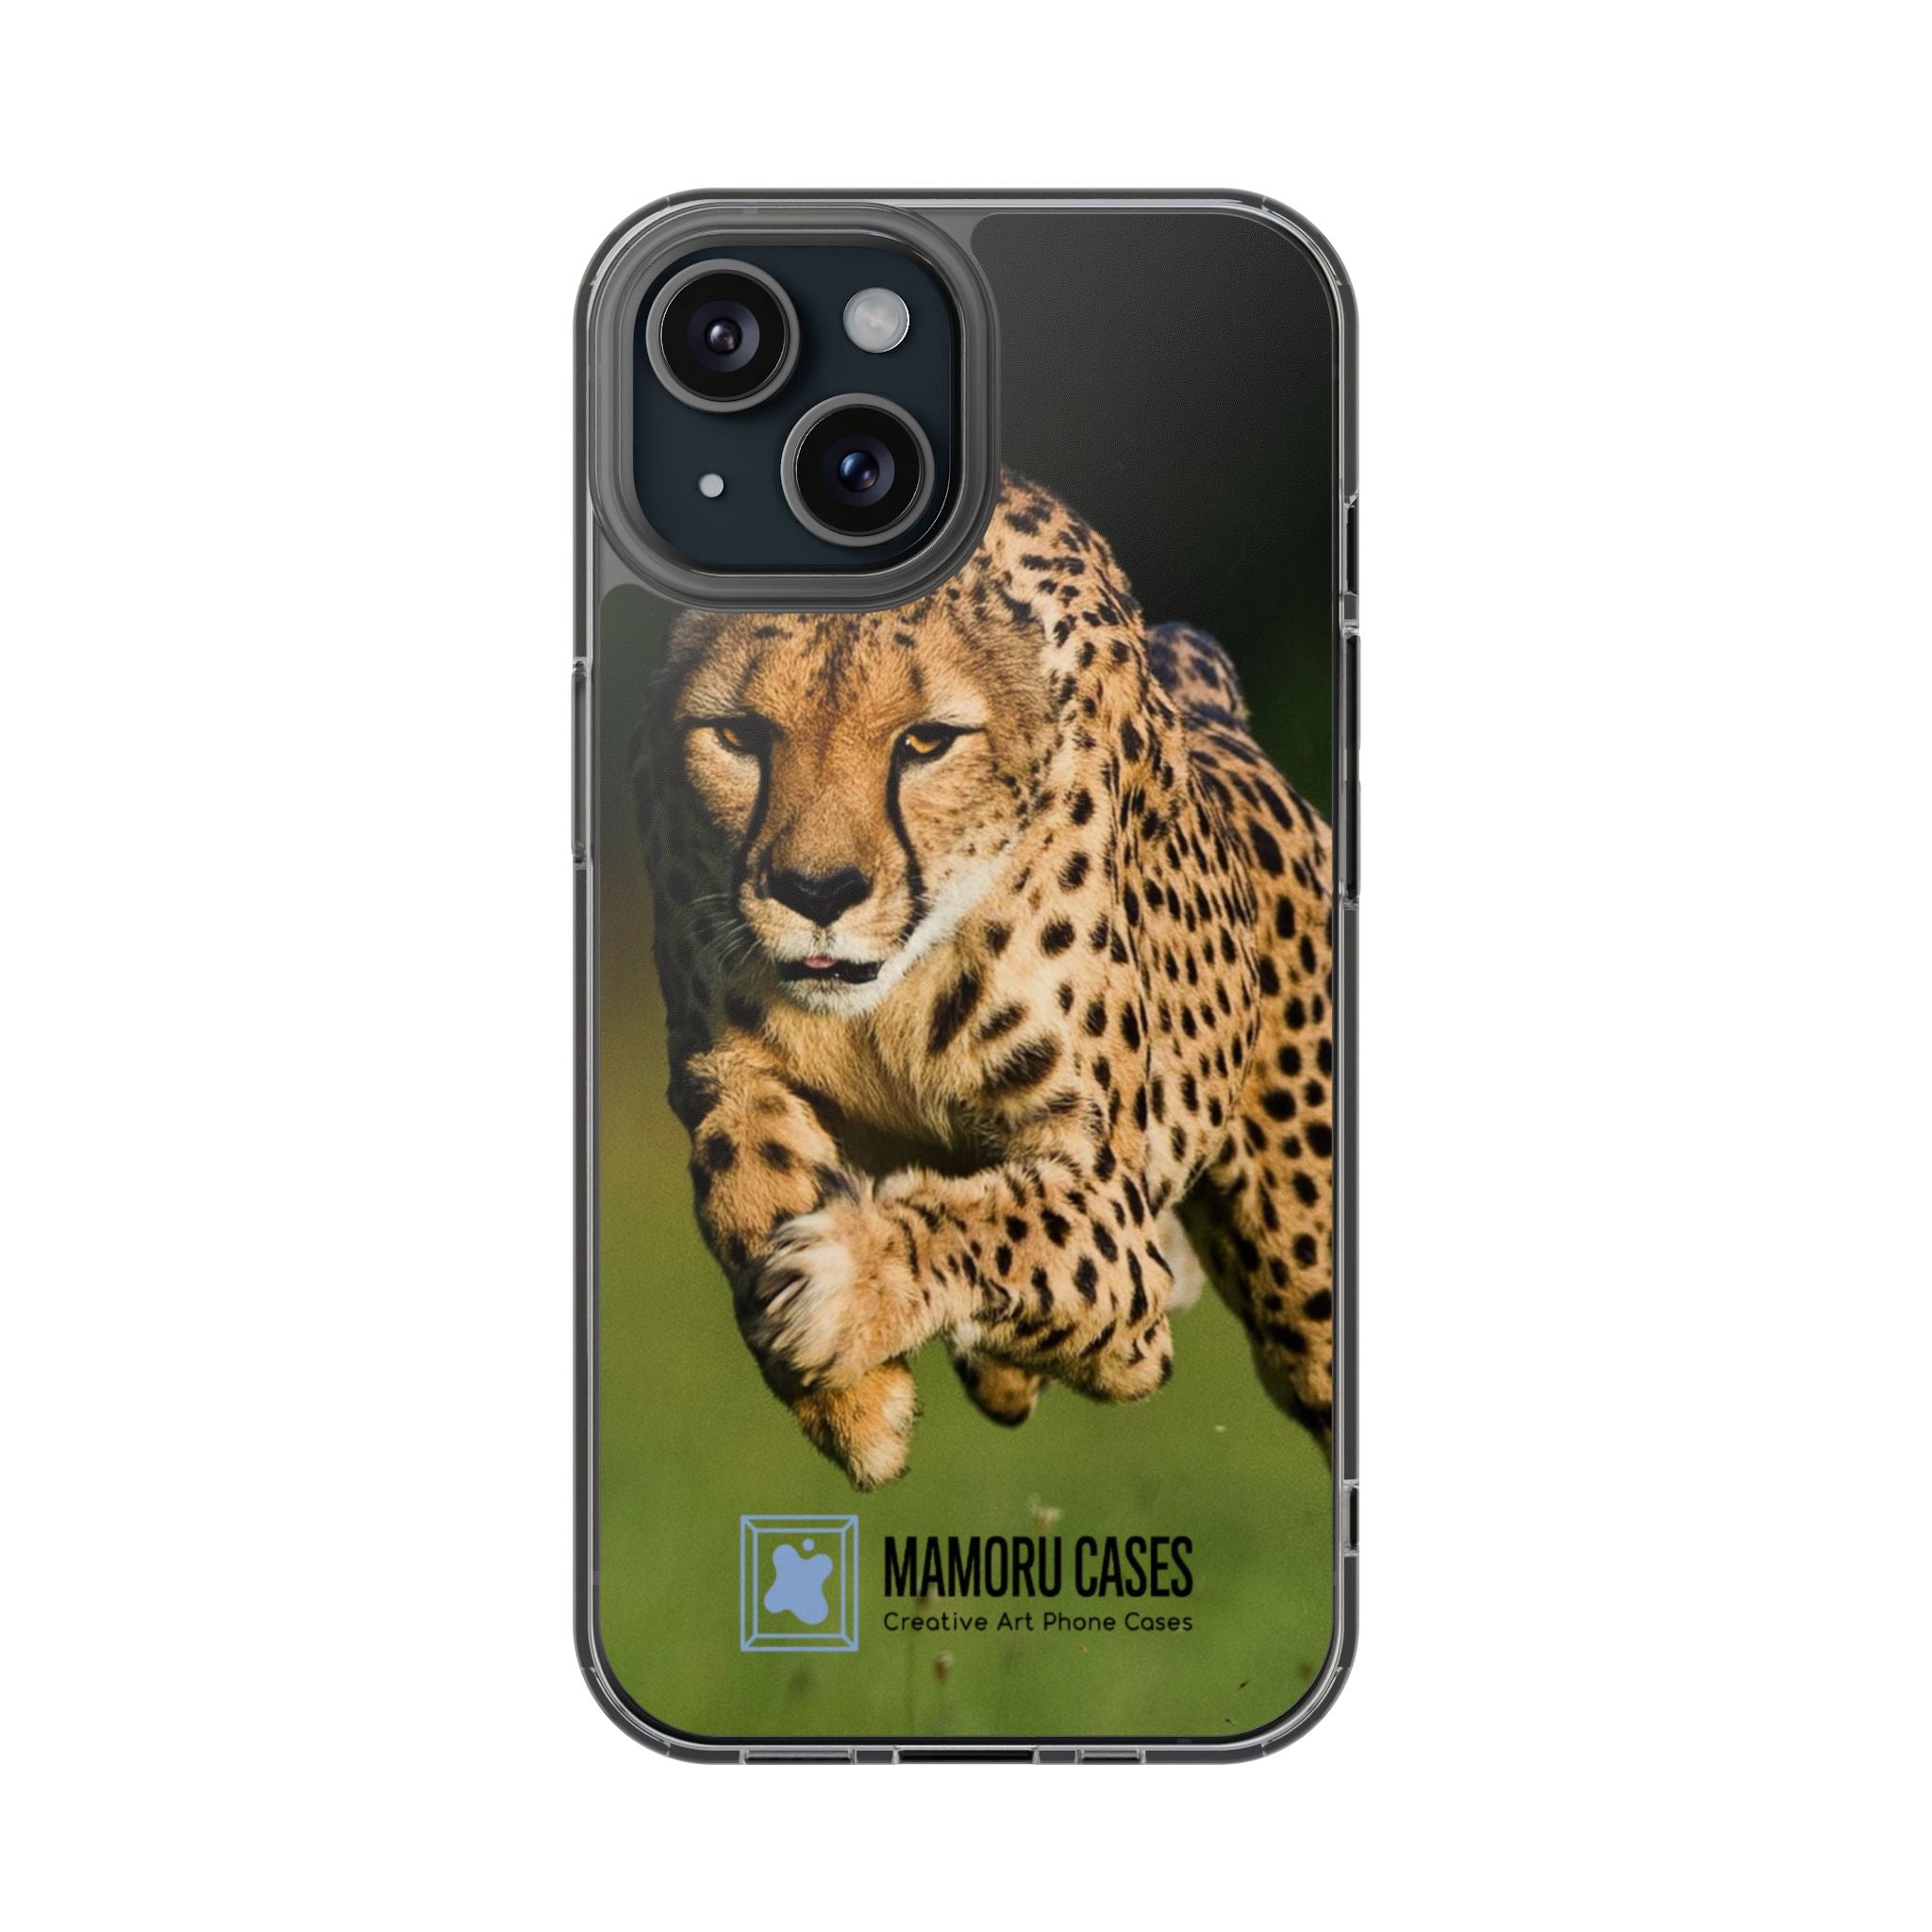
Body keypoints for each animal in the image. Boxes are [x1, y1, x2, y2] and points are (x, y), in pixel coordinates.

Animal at [630, 473, 1336, 1490]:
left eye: (927, 742)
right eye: (736, 735)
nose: (816, 893)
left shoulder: (1107, 1208)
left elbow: (1018, 1230)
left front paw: (849, 1285)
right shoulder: (717, 1062)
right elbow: (740, 1169)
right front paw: (853, 1404)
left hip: (1304, 1274)